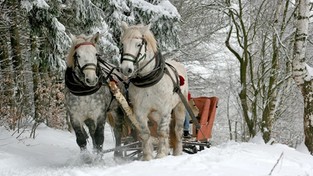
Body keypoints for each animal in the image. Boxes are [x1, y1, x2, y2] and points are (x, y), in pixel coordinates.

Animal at [119, 21, 188, 160]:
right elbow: (145, 133)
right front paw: (148, 157)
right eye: (122, 44)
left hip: (179, 107)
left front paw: (161, 155)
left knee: (177, 131)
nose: (126, 69)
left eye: (138, 44)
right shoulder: (140, 112)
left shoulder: (164, 110)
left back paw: (177, 153)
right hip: (154, 115)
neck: (148, 81)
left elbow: (162, 132)